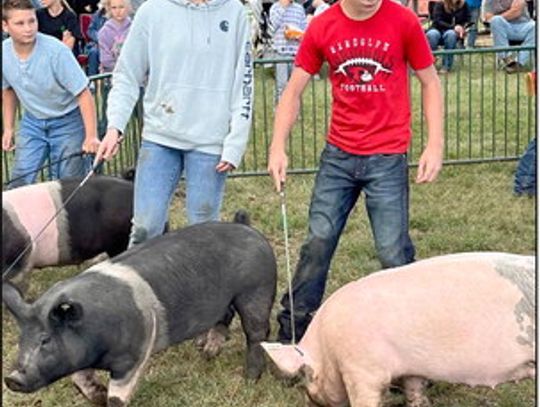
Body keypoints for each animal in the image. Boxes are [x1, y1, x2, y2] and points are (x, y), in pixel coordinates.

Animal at [2, 214, 276, 407]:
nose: (12, 378)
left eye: (45, 340)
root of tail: (245, 227)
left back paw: (250, 379)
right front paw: (97, 396)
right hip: (227, 298)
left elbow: (118, 396)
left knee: (257, 333)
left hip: (256, 290)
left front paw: (108, 400)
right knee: (225, 316)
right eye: (21, 340)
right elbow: (80, 379)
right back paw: (208, 352)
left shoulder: (134, 352)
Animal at [262, 253, 536, 406]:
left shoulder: (363, 369)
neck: (328, 348)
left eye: (308, 376)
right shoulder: (412, 368)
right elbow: (415, 391)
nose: (310, 400)